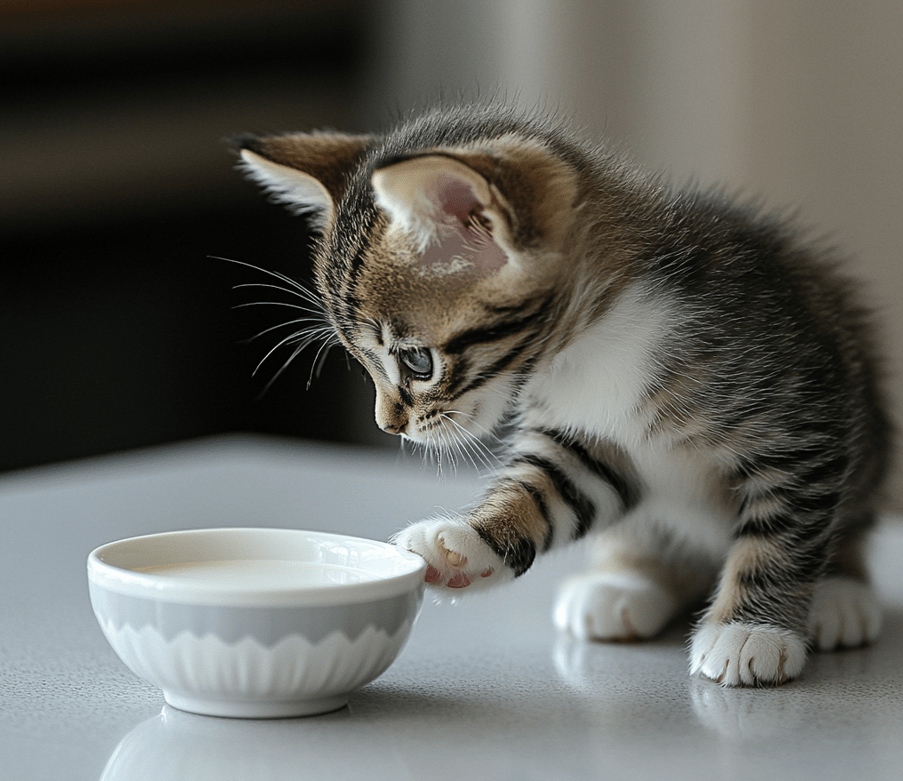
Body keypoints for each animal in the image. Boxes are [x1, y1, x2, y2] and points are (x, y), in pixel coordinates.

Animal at [233, 102, 888, 684]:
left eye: (417, 362)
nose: (388, 426)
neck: (593, 350)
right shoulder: (586, 444)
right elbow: (548, 493)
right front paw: (467, 546)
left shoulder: (799, 417)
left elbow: (783, 529)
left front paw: (753, 630)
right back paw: (628, 581)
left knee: (847, 519)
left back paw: (839, 593)